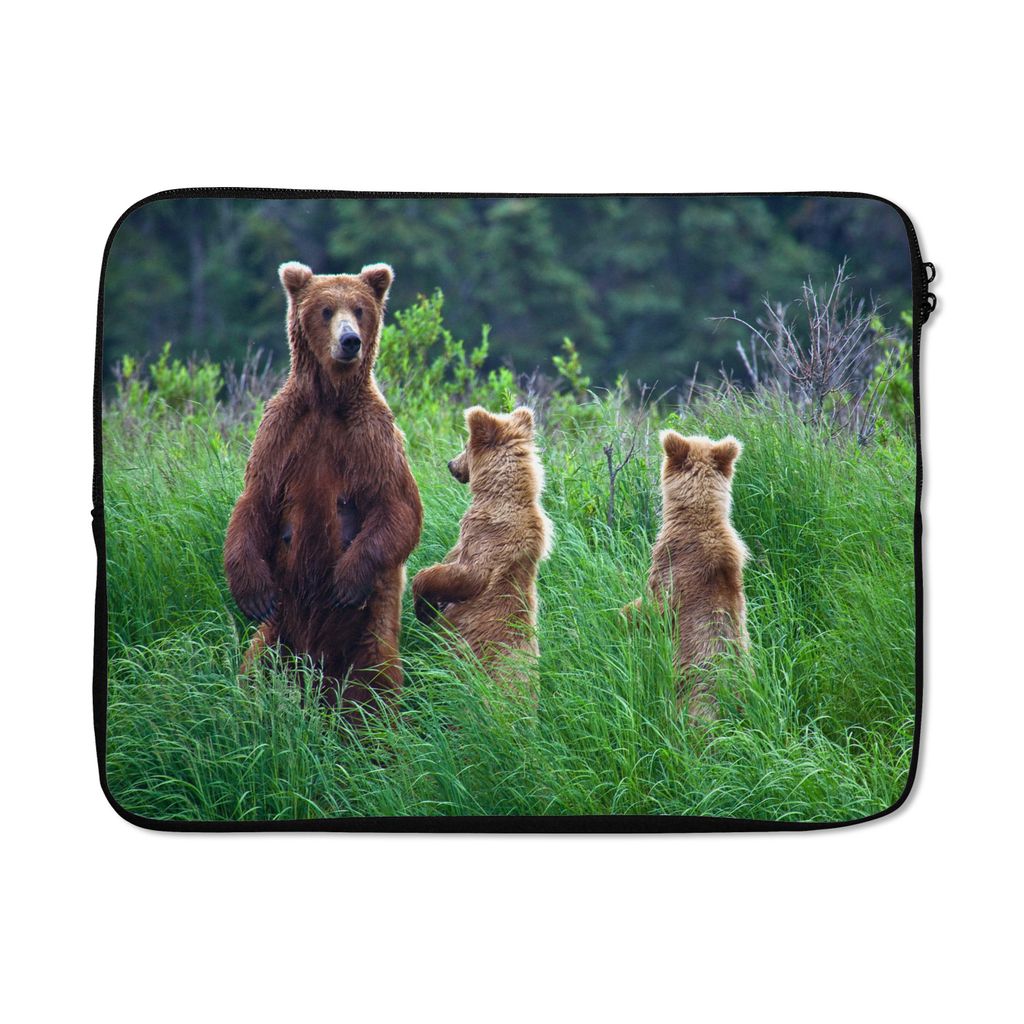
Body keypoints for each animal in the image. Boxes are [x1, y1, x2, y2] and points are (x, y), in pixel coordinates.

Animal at [224, 260, 423, 710]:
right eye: (326, 310)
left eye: (360, 309)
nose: (350, 341)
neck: (329, 400)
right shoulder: (282, 431)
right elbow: (254, 501)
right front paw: (253, 593)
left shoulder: (371, 436)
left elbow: (398, 507)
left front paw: (346, 581)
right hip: (279, 632)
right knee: (254, 668)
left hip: (367, 636)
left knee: (374, 685)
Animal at [411, 406, 553, 693]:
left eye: (465, 445)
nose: (451, 464)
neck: (498, 495)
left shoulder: (488, 537)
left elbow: (464, 574)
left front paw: (424, 605)